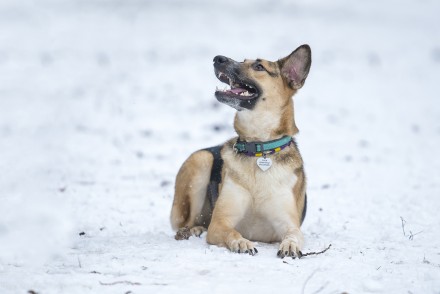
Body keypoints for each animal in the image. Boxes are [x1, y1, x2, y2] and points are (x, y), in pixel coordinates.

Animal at [170, 44, 312, 258]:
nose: (218, 59)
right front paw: (242, 242)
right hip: (201, 160)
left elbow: (293, 235)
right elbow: (232, 232)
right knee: (188, 222)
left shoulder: (289, 223)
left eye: (259, 66)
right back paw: (193, 230)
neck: (259, 149)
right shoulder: (220, 223)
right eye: (243, 60)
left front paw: (290, 245)